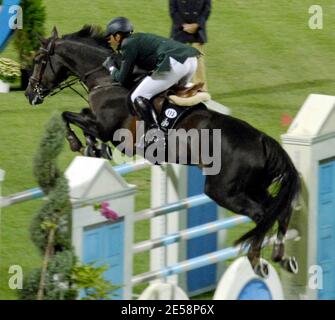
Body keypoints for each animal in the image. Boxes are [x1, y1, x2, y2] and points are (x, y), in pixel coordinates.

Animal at [25, 25, 300, 278]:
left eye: (39, 60)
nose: (29, 94)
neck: (106, 79)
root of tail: (262, 140)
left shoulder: (106, 128)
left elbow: (68, 117)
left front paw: (78, 143)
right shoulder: (97, 122)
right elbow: (78, 117)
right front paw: (94, 148)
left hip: (224, 191)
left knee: (261, 214)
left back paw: (257, 261)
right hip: (254, 187)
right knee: (278, 210)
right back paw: (283, 257)